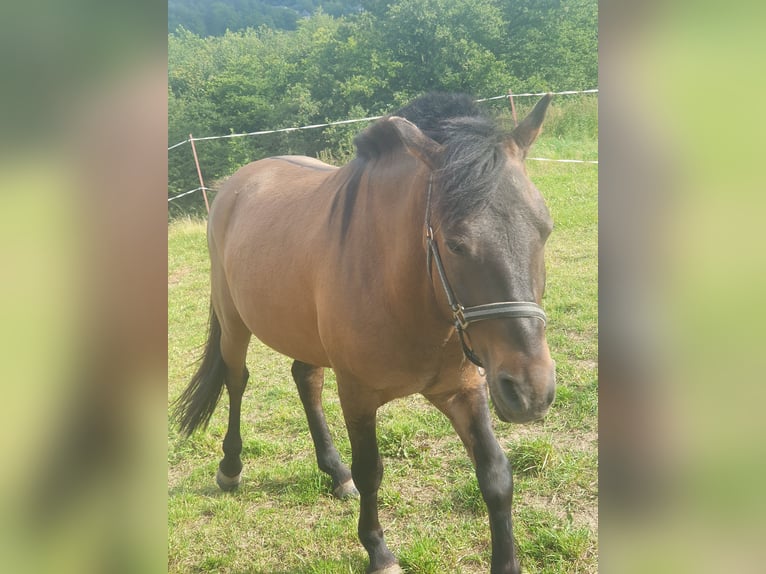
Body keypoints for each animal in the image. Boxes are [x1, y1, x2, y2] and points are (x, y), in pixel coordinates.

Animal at [174, 94, 560, 574]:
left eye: (545, 229)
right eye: (455, 243)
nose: (531, 390)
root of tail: (234, 185)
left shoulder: (465, 390)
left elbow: (496, 475)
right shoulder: (358, 394)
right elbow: (371, 471)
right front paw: (378, 551)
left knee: (306, 380)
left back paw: (334, 472)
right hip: (234, 323)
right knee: (236, 380)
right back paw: (231, 467)